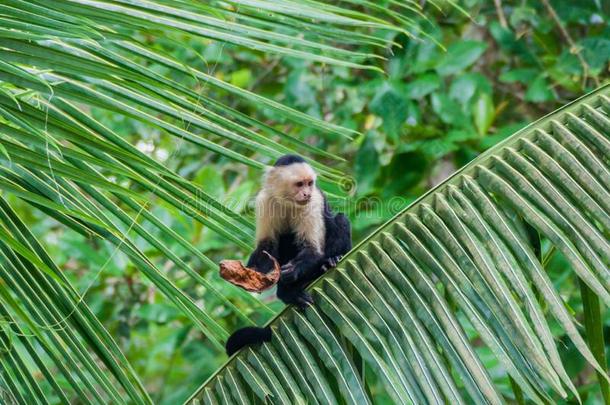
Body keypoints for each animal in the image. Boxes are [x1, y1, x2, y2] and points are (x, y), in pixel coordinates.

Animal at [224, 153, 350, 356]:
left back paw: (328, 262)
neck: (288, 201)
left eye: (309, 183)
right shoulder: (264, 200)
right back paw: (287, 292)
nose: (306, 193)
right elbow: (266, 247)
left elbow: (312, 249)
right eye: (299, 184)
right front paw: (249, 274)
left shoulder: (313, 202)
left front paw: (292, 271)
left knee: (340, 219)